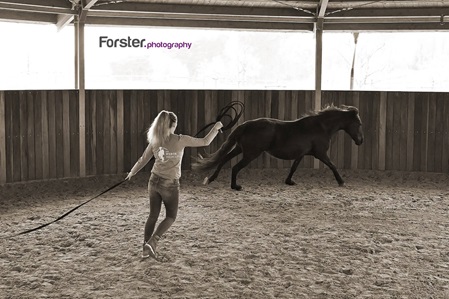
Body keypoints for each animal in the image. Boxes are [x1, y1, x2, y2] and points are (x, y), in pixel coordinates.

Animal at [192, 104, 364, 191]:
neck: (321, 127)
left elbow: (294, 168)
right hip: (251, 153)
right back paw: (235, 186)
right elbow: (333, 165)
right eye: (359, 123)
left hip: (241, 149)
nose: (360, 141)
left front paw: (289, 181)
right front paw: (341, 182)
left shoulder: (302, 154)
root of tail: (245, 124)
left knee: (224, 159)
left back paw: (211, 179)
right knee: (235, 167)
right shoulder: (320, 153)